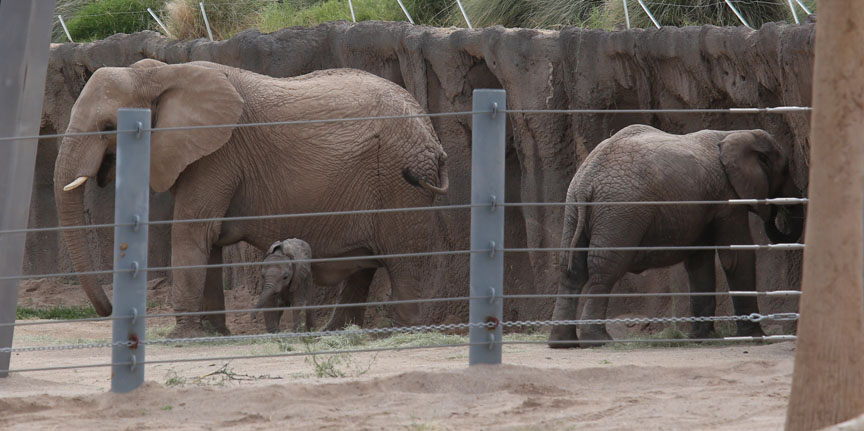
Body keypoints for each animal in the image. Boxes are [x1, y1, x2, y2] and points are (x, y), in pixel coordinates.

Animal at [54, 59, 449, 338]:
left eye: (108, 127)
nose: (106, 309)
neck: (158, 73)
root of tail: (431, 132)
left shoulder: (219, 153)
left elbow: (191, 231)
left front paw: (183, 336)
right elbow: (208, 240)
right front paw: (215, 333)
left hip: (401, 181)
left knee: (403, 260)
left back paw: (401, 332)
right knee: (366, 266)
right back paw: (337, 332)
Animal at [548, 124, 805, 348]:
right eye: (785, 170)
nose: (775, 213)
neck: (734, 133)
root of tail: (586, 181)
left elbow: (699, 261)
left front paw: (702, 339)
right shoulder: (727, 197)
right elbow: (736, 257)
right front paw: (757, 338)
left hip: (574, 209)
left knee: (572, 269)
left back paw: (563, 343)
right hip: (620, 211)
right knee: (604, 270)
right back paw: (599, 341)